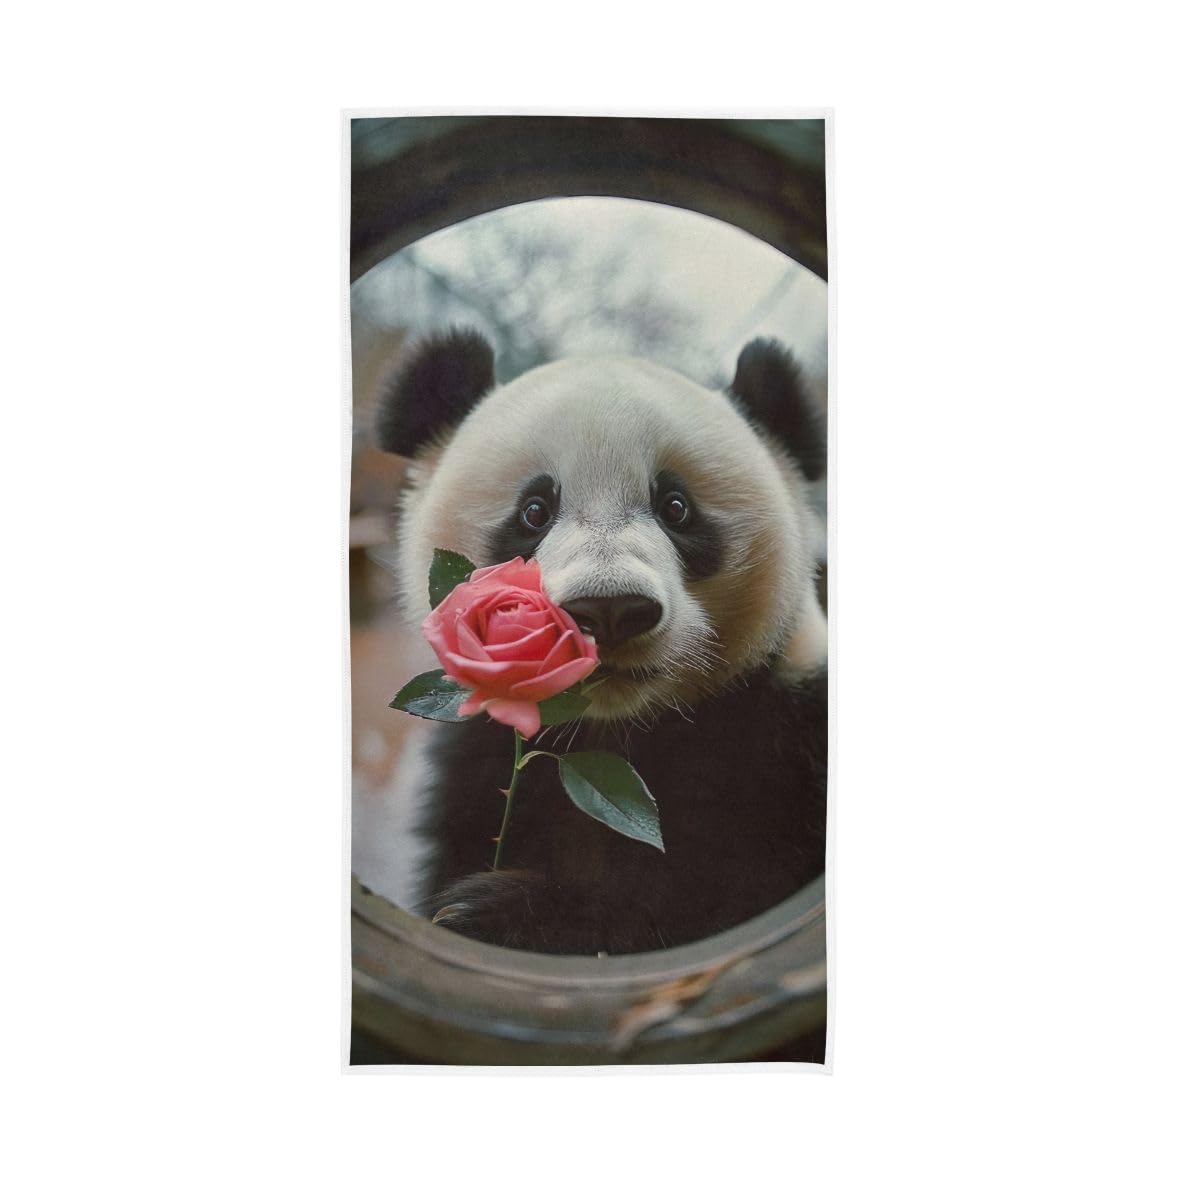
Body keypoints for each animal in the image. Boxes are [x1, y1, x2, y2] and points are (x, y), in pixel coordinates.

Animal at [375, 328, 828, 955]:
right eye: (534, 511)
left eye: (676, 507)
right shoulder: (478, 774)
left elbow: (715, 896)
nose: (610, 610)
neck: (614, 735)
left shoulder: (791, 740)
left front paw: (499, 913)